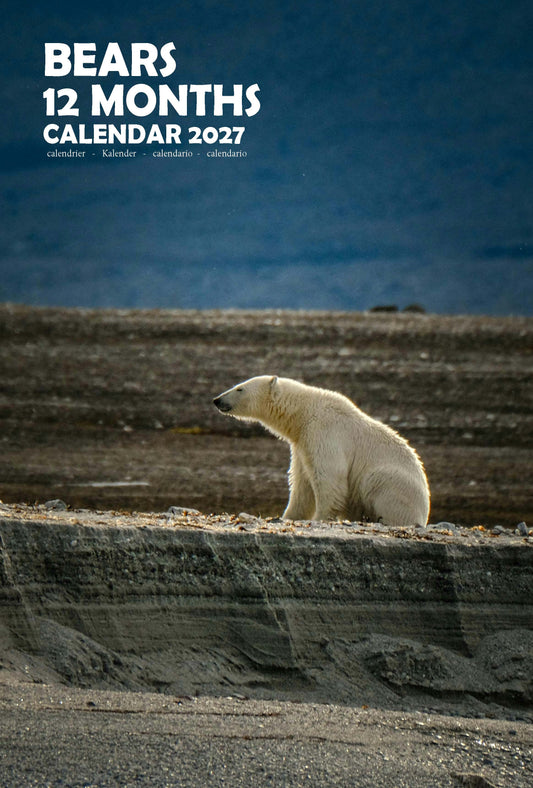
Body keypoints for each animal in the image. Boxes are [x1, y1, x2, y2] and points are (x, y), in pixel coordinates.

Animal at [213, 375, 430, 527]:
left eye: (240, 388)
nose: (217, 399)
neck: (304, 412)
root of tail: (424, 510)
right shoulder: (301, 445)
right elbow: (301, 485)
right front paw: (288, 516)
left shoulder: (324, 432)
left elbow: (329, 478)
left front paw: (320, 518)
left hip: (394, 483)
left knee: (377, 483)